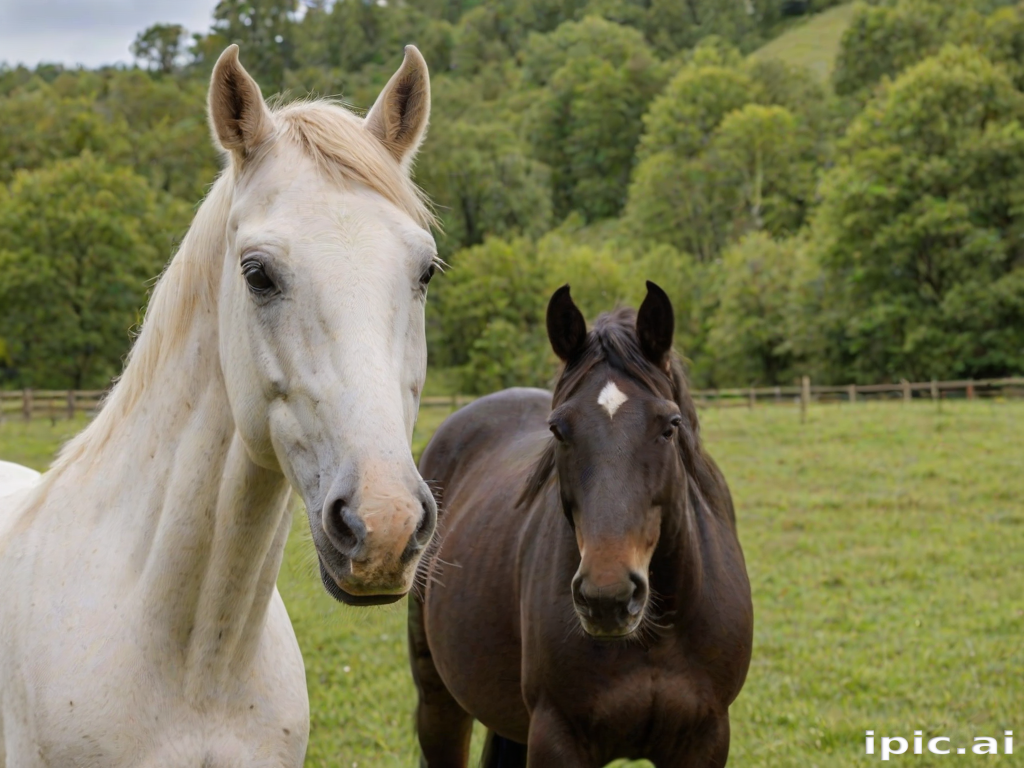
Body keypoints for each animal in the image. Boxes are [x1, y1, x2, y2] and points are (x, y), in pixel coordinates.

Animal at [409, 282, 754, 767]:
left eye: (670, 426)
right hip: (439, 699)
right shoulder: (557, 739)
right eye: (558, 430)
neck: (656, 638)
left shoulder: (705, 740)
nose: (608, 598)